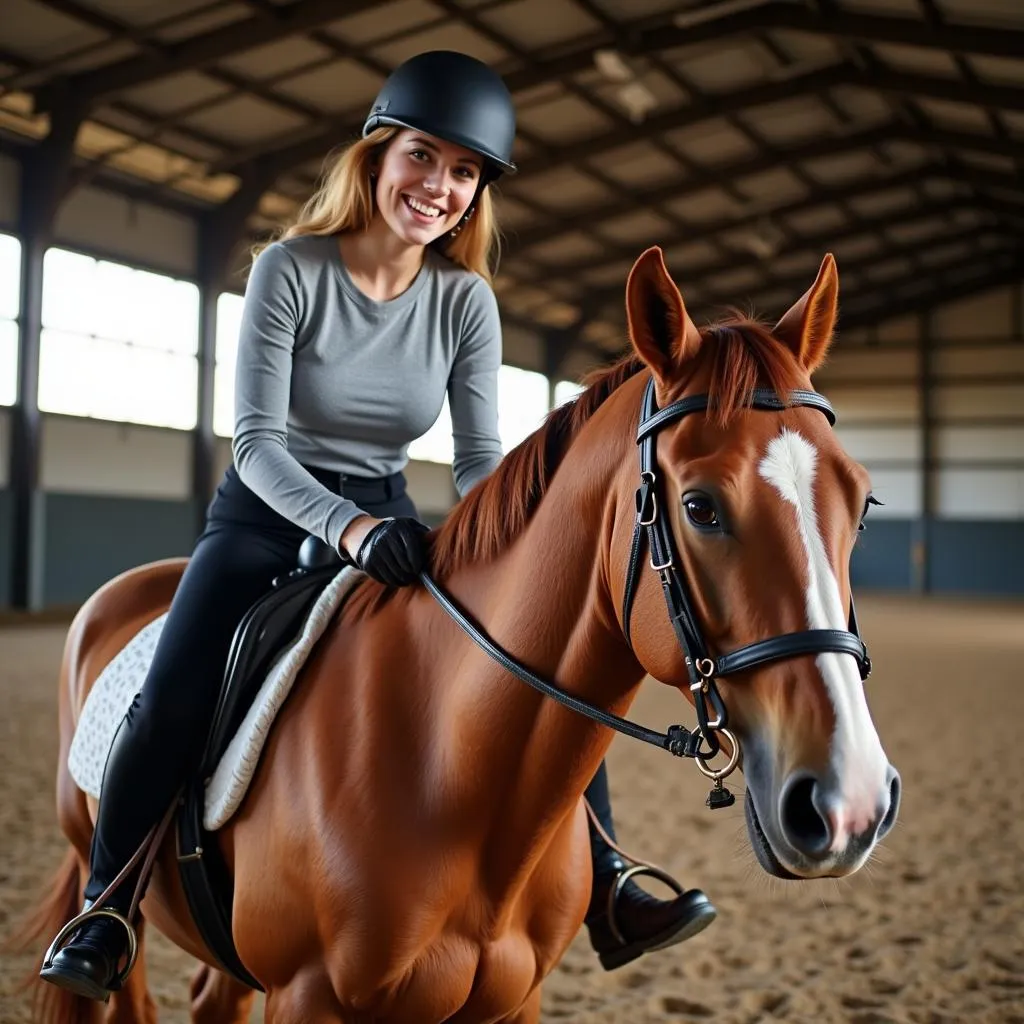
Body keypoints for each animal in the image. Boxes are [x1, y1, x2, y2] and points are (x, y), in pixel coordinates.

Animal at [16, 243, 897, 1019]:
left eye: (861, 504)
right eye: (700, 506)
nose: (849, 801)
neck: (446, 764)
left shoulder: (513, 1000)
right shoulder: (307, 999)